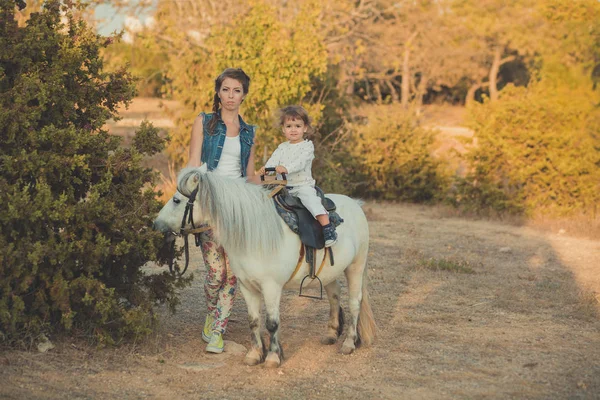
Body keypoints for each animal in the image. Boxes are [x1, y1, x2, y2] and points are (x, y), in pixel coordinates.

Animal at [155, 167, 376, 368]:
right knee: (334, 295)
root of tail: (356, 204)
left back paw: (349, 343)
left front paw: (272, 357)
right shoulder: (247, 286)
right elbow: (254, 321)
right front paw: (254, 354)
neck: (254, 235)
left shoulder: (271, 287)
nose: (155, 225)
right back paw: (331, 333)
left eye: (176, 200)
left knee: (355, 302)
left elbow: (272, 323)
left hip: (355, 267)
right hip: (330, 271)